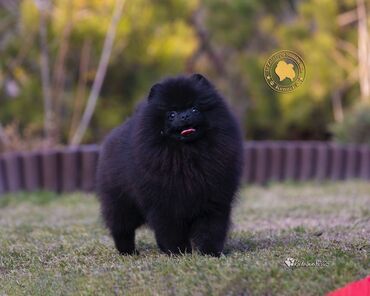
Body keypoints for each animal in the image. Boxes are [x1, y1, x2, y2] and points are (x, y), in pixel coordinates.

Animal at [97, 74, 244, 256]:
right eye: (172, 114)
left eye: (194, 109)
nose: (185, 116)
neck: (188, 155)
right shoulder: (165, 203)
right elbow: (170, 230)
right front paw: (178, 251)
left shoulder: (214, 200)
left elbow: (211, 228)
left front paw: (209, 252)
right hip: (121, 204)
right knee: (122, 228)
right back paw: (128, 251)